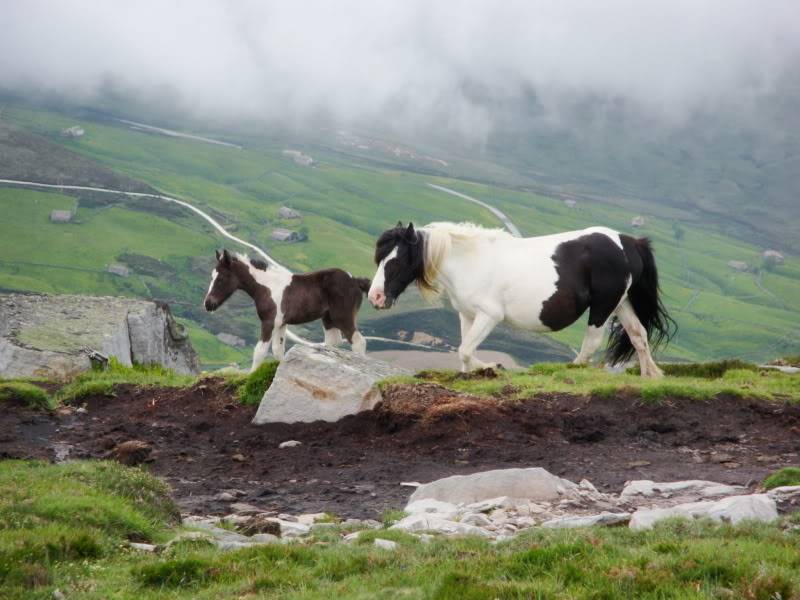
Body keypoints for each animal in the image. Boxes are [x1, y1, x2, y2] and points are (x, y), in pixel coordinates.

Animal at [205, 248, 370, 370]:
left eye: (221, 279)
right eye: (211, 276)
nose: (208, 304)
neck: (267, 287)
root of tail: (355, 281)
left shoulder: (269, 322)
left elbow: (260, 351)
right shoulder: (281, 324)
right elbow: (278, 350)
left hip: (343, 317)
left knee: (359, 341)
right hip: (328, 318)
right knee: (333, 341)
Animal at [368, 223, 676, 378]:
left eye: (396, 260)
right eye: (379, 257)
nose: (375, 297)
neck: (470, 261)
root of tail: (628, 242)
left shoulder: (488, 316)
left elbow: (466, 351)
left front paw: (493, 367)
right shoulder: (466, 315)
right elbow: (463, 352)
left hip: (602, 307)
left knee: (591, 344)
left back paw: (570, 369)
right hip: (621, 302)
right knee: (638, 335)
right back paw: (651, 376)